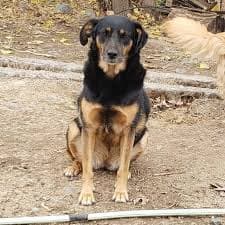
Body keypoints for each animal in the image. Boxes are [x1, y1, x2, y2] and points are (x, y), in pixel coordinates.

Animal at [64, 15, 150, 206]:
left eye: (125, 36)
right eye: (104, 33)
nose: (112, 54)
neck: (111, 80)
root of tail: (104, 161)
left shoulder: (129, 129)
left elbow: (123, 168)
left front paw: (121, 192)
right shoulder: (88, 126)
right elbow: (87, 169)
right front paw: (86, 193)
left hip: (144, 135)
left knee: (123, 164)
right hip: (73, 127)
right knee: (80, 159)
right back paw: (73, 168)